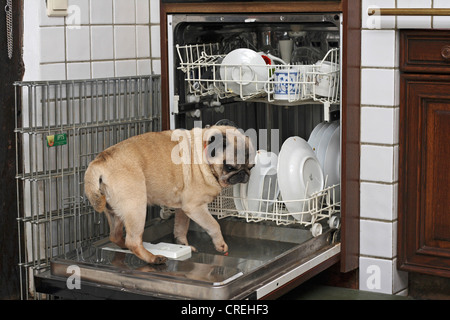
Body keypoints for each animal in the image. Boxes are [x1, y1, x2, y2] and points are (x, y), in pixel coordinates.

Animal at [83, 125, 255, 264]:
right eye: (230, 167)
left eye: (251, 167)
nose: (244, 174)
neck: (203, 152)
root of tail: (100, 162)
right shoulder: (195, 208)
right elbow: (213, 225)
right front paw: (220, 244)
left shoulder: (182, 210)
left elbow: (181, 229)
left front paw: (183, 245)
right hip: (136, 208)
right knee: (133, 241)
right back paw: (153, 258)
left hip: (114, 211)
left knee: (116, 236)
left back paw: (127, 247)